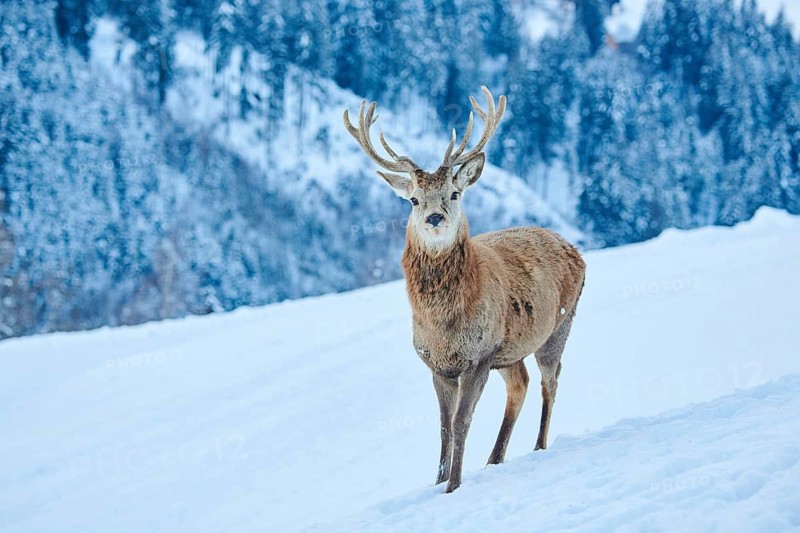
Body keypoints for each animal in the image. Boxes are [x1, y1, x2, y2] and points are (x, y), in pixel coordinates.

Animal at [343, 86, 586, 493]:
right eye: (413, 199)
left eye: (454, 193)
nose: (434, 217)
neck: (443, 326)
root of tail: (574, 248)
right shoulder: (438, 365)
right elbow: (443, 426)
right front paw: (437, 481)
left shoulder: (479, 356)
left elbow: (461, 422)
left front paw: (453, 486)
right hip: (511, 350)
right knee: (519, 384)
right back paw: (494, 460)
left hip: (558, 327)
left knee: (550, 380)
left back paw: (538, 446)